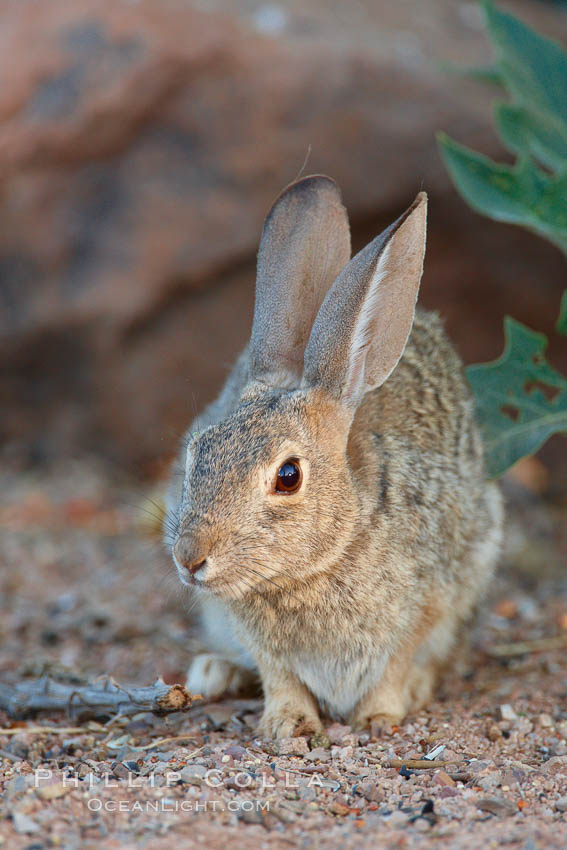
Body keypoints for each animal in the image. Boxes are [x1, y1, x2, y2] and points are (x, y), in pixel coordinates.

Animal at [163, 174, 502, 736]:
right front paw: (288, 725)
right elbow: (279, 674)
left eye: (288, 476)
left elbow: (396, 662)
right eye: (197, 450)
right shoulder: (253, 633)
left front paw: (380, 716)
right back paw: (214, 672)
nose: (190, 558)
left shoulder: (427, 603)